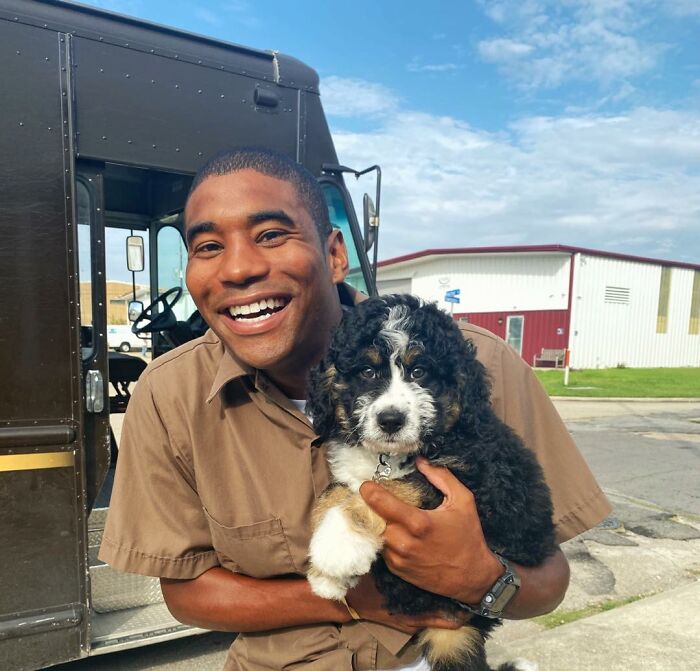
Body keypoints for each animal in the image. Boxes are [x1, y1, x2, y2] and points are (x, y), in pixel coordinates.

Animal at [304, 296, 552, 671]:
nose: (391, 420)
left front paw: (338, 549)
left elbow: (393, 487)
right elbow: (336, 492)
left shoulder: (477, 479)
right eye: (367, 372)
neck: (389, 456)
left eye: (420, 372)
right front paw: (325, 575)